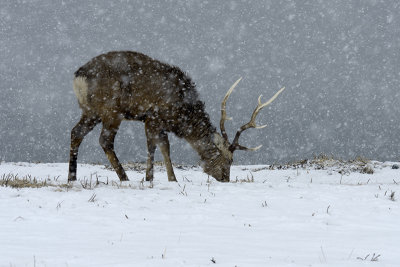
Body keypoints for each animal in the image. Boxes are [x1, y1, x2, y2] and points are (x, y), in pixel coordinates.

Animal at [68, 51, 284, 183]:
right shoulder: (153, 117)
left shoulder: (161, 122)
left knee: (76, 132)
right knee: (105, 140)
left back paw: (72, 177)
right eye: (229, 160)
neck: (182, 116)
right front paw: (150, 178)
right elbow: (153, 146)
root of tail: (78, 76)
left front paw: (171, 178)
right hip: (111, 110)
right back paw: (124, 178)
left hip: (90, 110)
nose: (225, 178)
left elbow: (165, 146)